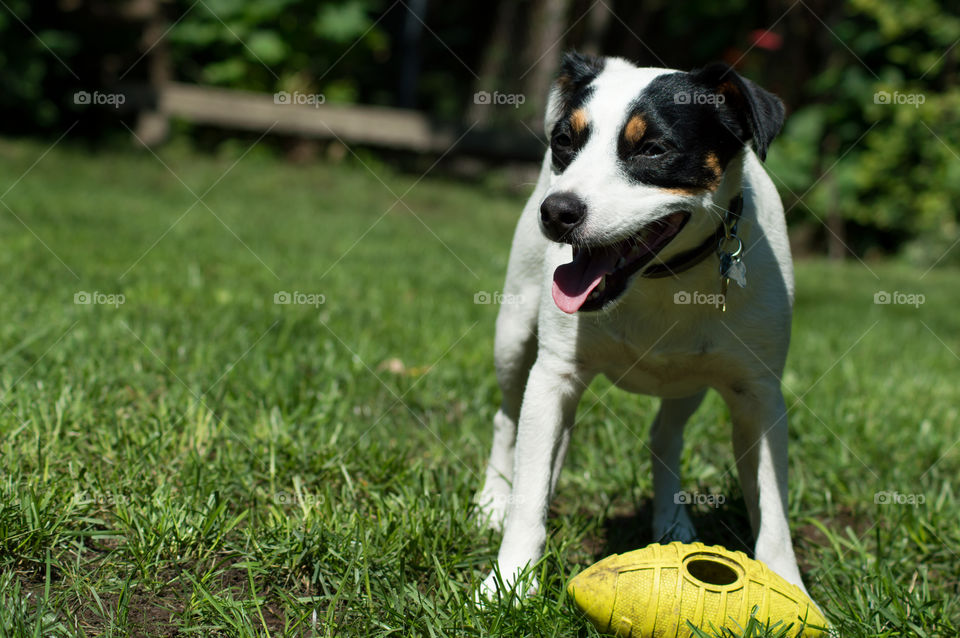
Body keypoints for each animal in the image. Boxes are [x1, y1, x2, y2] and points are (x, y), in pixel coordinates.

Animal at [480, 52, 808, 604]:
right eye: (563, 141)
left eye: (654, 149)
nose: (557, 211)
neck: (664, 279)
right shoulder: (554, 376)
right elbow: (529, 494)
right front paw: (508, 582)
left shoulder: (757, 395)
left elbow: (773, 507)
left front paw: (790, 588)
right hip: (513, 333)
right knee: (509, 419)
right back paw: (492, 499)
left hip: (690, 382)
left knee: (664, 435)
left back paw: (671, 524)